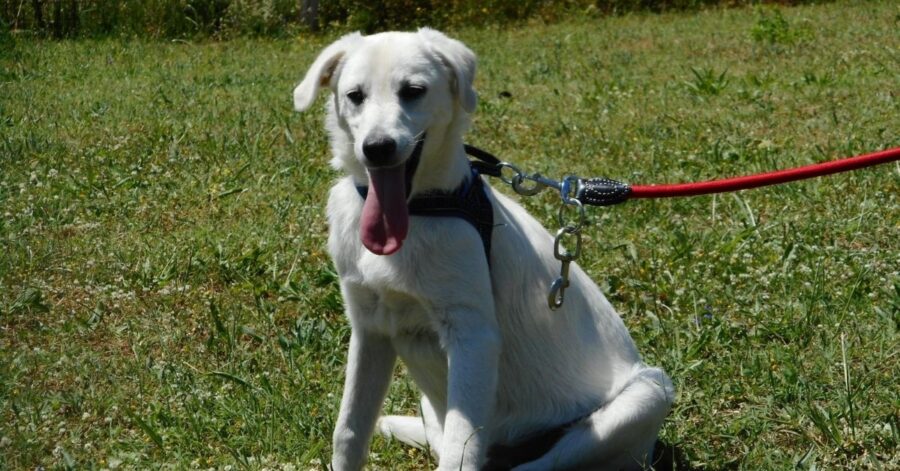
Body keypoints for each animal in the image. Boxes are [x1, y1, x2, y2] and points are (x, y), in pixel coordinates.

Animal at [292, 27, 672, 470]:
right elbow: (349, 430)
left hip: (648, 393)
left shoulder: (473, 336)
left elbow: (461, 450)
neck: (422, 208)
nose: (377, 147)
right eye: (355, 95)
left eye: (413, 91)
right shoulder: (370, 328)